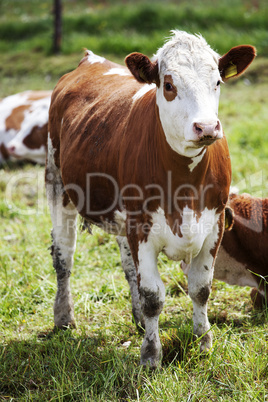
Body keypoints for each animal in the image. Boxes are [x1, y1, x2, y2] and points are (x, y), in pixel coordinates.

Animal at [46, 29, 255, 366]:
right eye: (169, 85)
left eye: (218, 82)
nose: (206, 127)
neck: (184, 184)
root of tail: (91, 60)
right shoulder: (141, 226)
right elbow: (153, 296)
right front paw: (151, 355)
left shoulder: (215, 225)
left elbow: (200, 288)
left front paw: (204, 342)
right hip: (57, 183)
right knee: (63, 256)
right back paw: (64, 317)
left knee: (129, 266)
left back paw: (138, 320)